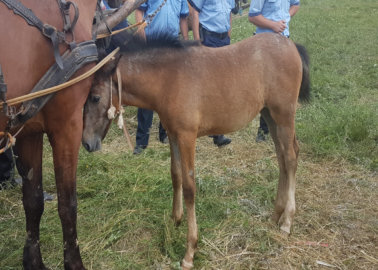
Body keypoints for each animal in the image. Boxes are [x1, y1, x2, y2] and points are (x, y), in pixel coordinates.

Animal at [0, 0, 137, 268]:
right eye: (94, 98)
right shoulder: (68, 125)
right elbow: (68, 204)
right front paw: (74, 262)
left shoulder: (28, 130)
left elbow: (33, 199)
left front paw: (34, 262)